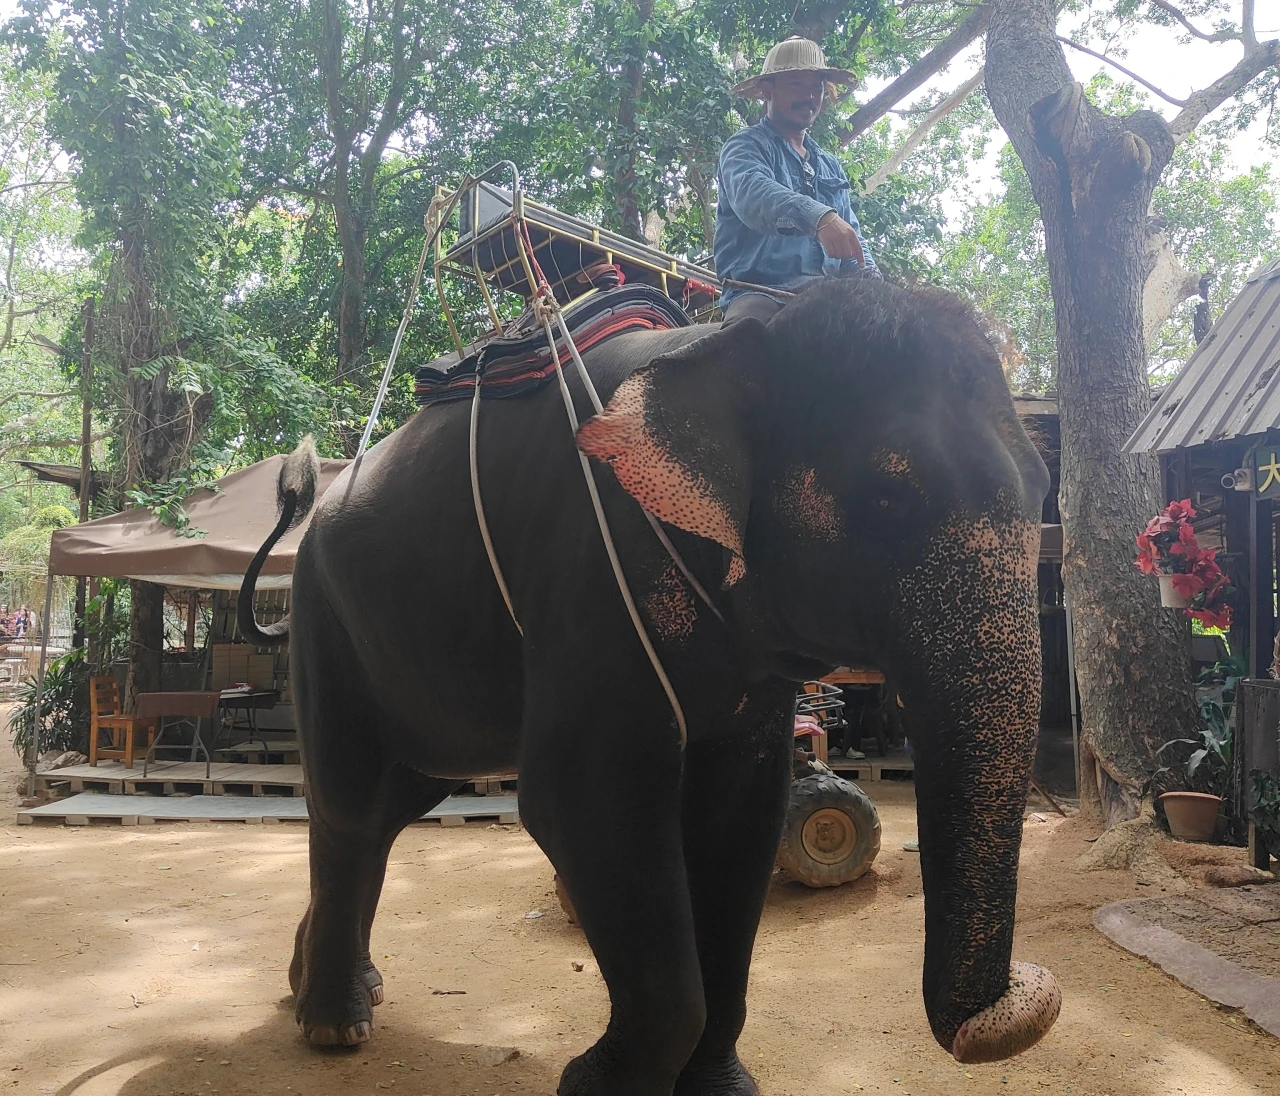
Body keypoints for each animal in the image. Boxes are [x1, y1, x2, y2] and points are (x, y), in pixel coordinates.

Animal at [239, 277, 1061, 1096]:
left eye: (1045, 490)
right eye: (889, 496)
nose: (1021, 1004)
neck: (724, 343)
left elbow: (741, 816)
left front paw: (718, 1086)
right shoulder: (590, 578)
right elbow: (583, 800)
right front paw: (591, 1085)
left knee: (391, 808)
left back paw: (336, 986)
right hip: (324, 621)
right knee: (350, 806)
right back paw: (335, 1024)